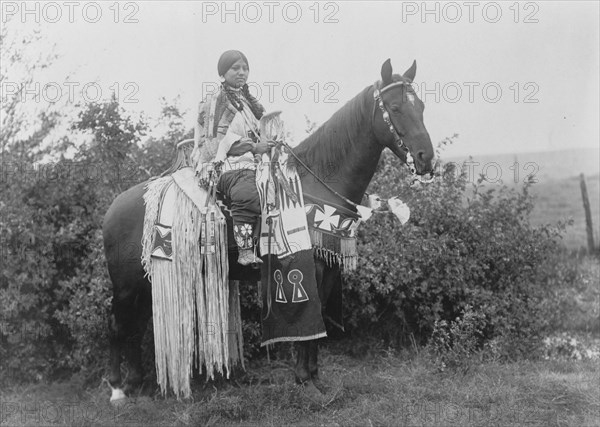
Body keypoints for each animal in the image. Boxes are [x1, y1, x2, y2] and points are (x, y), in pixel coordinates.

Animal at [104, 59, 436, 402]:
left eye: (421, 107)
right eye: (395, 107)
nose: (426, 159)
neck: (314, 184)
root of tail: (114, 207)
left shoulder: (328, 270)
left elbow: (318, 324)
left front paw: (315, 378)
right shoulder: (309, 269)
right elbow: (309, 325)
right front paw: (304, 380)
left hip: (147, 279)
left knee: (135, 327)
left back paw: (135, 381)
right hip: (126, 284)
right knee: (117, 326)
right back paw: (117, 388)